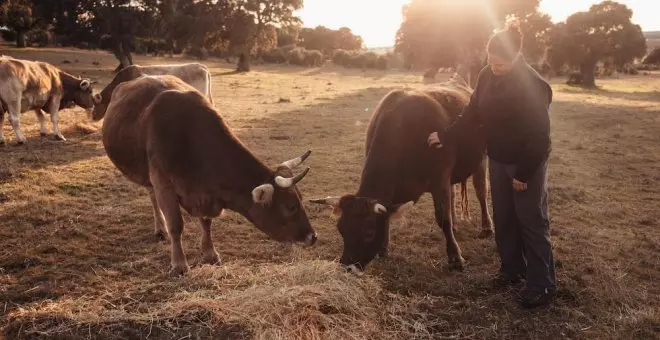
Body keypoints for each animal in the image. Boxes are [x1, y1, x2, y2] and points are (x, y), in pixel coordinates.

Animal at [102, 74, 318, 276]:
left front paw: (210, 254)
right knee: (154, 198)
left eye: (301, 199)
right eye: (290, 206)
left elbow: (206, 223)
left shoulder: (206, 192)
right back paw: (161, 228)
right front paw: (179, 264)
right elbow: (176, 226)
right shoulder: (163, 183)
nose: (313, 236)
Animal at [312, 74, 492, 274]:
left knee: (481, 192)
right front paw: (383, 249)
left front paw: (455, 257)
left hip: (482, 158)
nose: (348, 267)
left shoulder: (439, 180)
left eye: (369, 232)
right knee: (453, 196)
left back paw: (486, 227)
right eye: (341, 229)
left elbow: (442, 219)